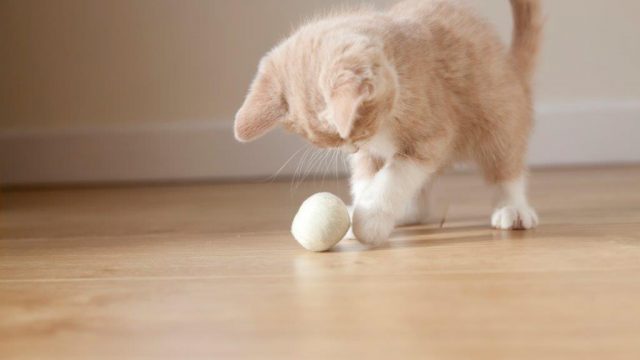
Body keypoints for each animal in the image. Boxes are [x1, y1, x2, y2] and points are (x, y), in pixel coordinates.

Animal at [234, 0, 540, 246]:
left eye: (351, 135)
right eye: (333, 142)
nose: (351, 149)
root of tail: (512, 67)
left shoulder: (432, 136)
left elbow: (394, 178)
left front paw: (369, 220)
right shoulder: (370, 153)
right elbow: (365, 178)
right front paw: (357, 211)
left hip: (497, 117)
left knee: (505, 165)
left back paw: (513, 208)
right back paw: (407, 213)